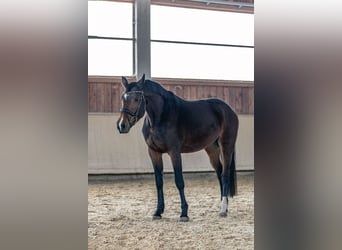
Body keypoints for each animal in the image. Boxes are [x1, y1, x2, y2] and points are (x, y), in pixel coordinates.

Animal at [117, 73, 238, 221]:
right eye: (122, 98)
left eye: (136, 99)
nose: (122, 125)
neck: (161, 117)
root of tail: (228, 109)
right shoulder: (154, 152)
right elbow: (159, 182)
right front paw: (158, 212)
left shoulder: (174, 152)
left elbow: (179, 181)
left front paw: (184, 213)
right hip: (212, 149)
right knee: (219, 173)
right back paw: (224, 206)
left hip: (227, 146)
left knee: (225, 174)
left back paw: (223, 209)